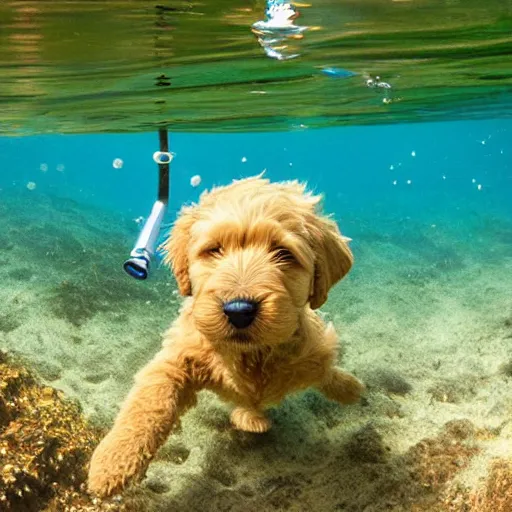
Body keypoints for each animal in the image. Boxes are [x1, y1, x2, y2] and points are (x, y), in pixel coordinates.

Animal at [88, 175, 362, 496]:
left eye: (284, 253)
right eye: (214, 249)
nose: (239, 310)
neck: (253, 354)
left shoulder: (311, 352)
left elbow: (325, 368)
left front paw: (349, 386)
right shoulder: (179, 355)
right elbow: (150, 400)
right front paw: (112, 462)